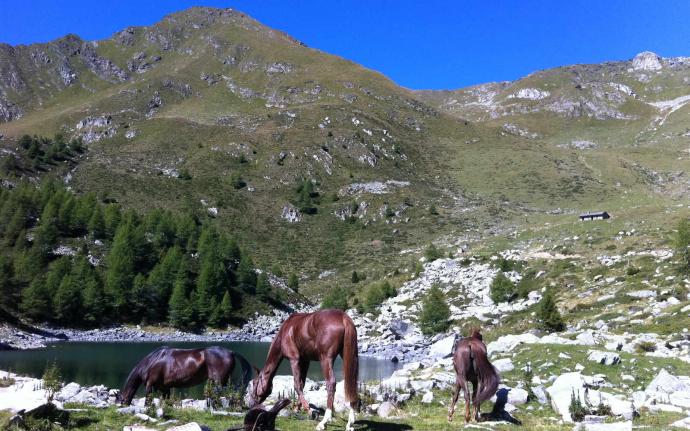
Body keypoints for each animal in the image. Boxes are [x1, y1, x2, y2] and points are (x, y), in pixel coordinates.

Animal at [117, 346, 251, 406]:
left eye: (121, 402)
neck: (152, 361)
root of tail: (230, 352)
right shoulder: (165, 388)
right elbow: (166, 402)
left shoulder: (150, 386)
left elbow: (147, 401)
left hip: (219, 382)